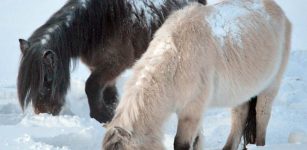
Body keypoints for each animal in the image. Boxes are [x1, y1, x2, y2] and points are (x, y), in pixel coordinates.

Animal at [18, 0, 208, 123]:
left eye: (47, 81)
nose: (43, 113)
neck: (97, 25)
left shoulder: (114, 64)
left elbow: (91, 86)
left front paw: (101, 116)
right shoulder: (101, 67)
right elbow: (108, 92)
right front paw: (112, 111)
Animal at [103, 0, 292, 149]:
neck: (176, 57)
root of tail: (281, 12)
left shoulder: (192, 110)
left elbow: (182, 144)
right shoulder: (194, 111)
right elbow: (198, 141)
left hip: (271, 85)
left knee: (262, 115)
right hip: (241, 91)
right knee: (239, 115)